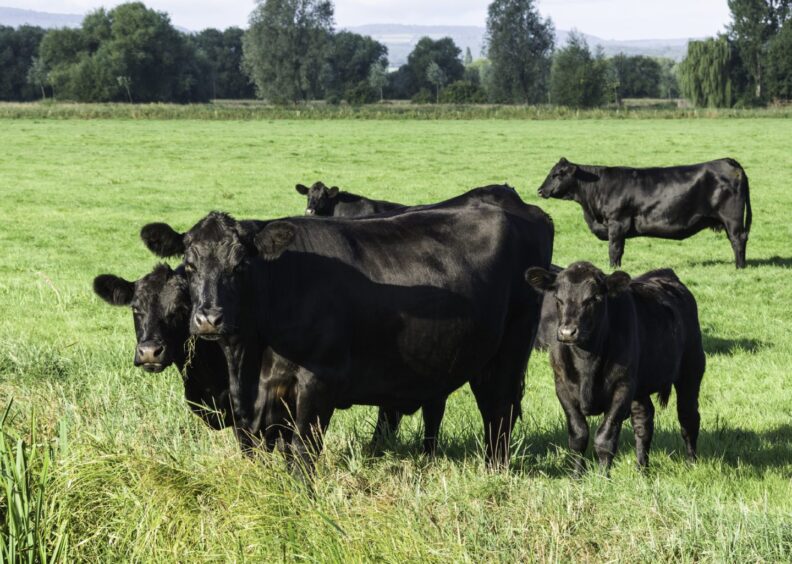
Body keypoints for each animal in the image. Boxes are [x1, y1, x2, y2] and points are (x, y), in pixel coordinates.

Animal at [141, 185, 552, 472]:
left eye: (240, 265)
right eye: (189, 265)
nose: (209, 318)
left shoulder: (317, 384)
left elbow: (302, 457)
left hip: (510, 349)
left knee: (497, 412)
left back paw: (494, 473)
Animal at [524, 262, 704, 474]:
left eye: (594, 298)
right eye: (558, 299)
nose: (567, 332)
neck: (587, 360)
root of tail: (666, 274)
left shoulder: (622, 388)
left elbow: (605, 438)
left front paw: (602, 477)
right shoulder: (562, 386)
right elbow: (578, 436)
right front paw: (576, 476)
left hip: (692, 368)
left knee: (688, 417)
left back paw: (692, 464)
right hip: (640, 387)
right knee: (643, 421)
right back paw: (642, 470)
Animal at [536, 155, 752, 268]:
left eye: (557, 174)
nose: (540, 190)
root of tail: (728, 161)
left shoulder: (617, 223)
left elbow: (614, 249)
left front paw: (612, 269)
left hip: (732, 219)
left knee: (738, 239)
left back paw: (739, 266)